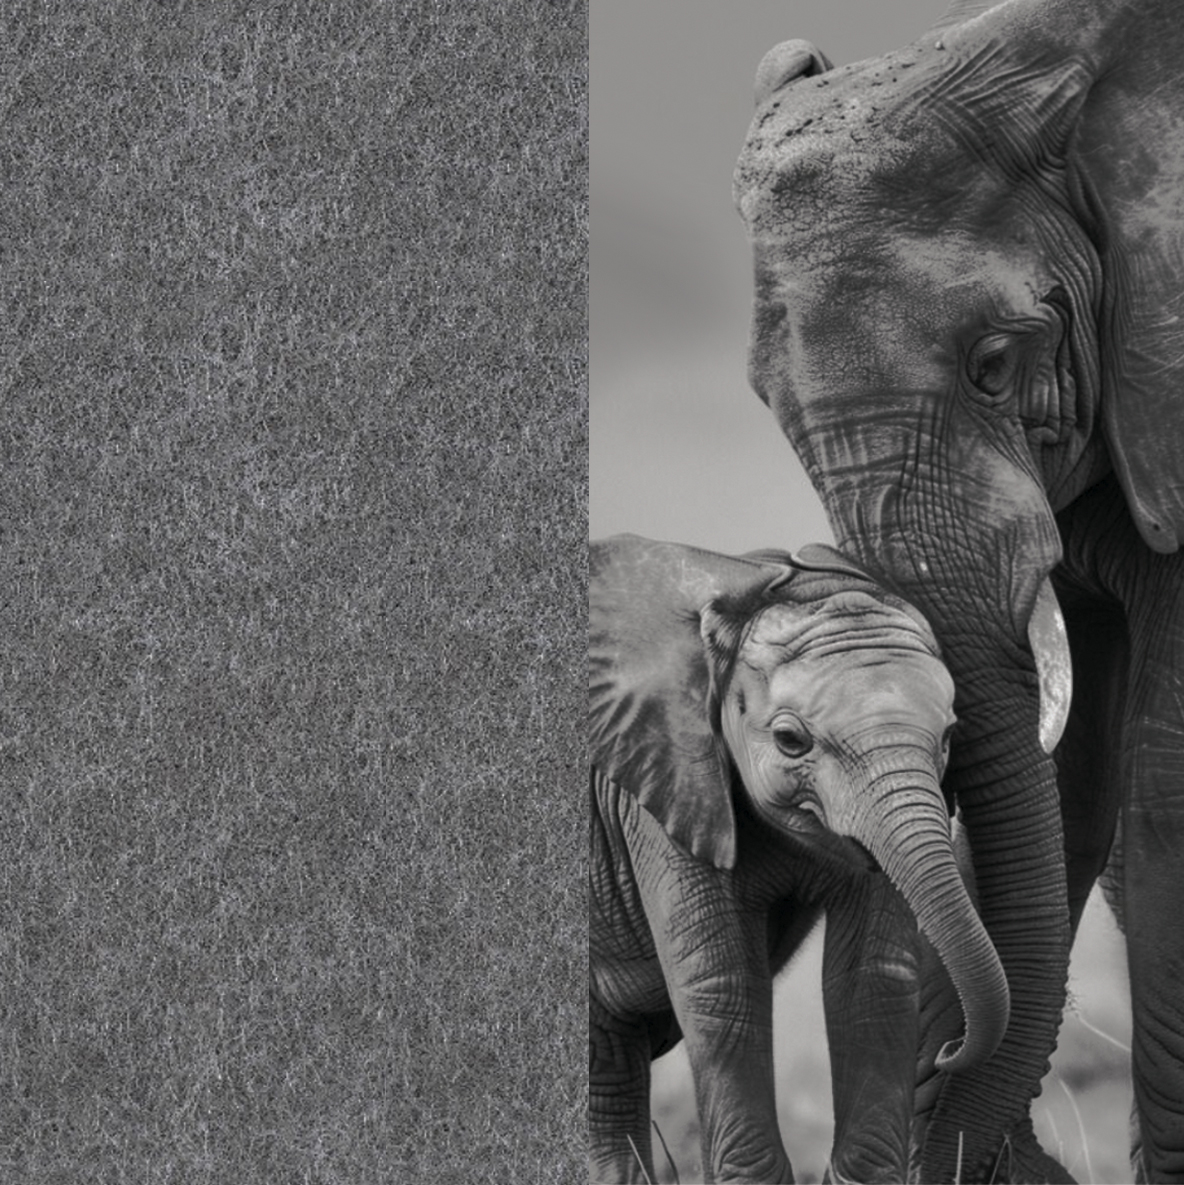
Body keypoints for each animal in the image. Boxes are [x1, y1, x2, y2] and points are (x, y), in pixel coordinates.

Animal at [588, 533, 1009, 1184]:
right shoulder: (664, 777)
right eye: (791, 741)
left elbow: (873, 982)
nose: (946, 1051)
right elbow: (722, 987)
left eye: (945, 739)